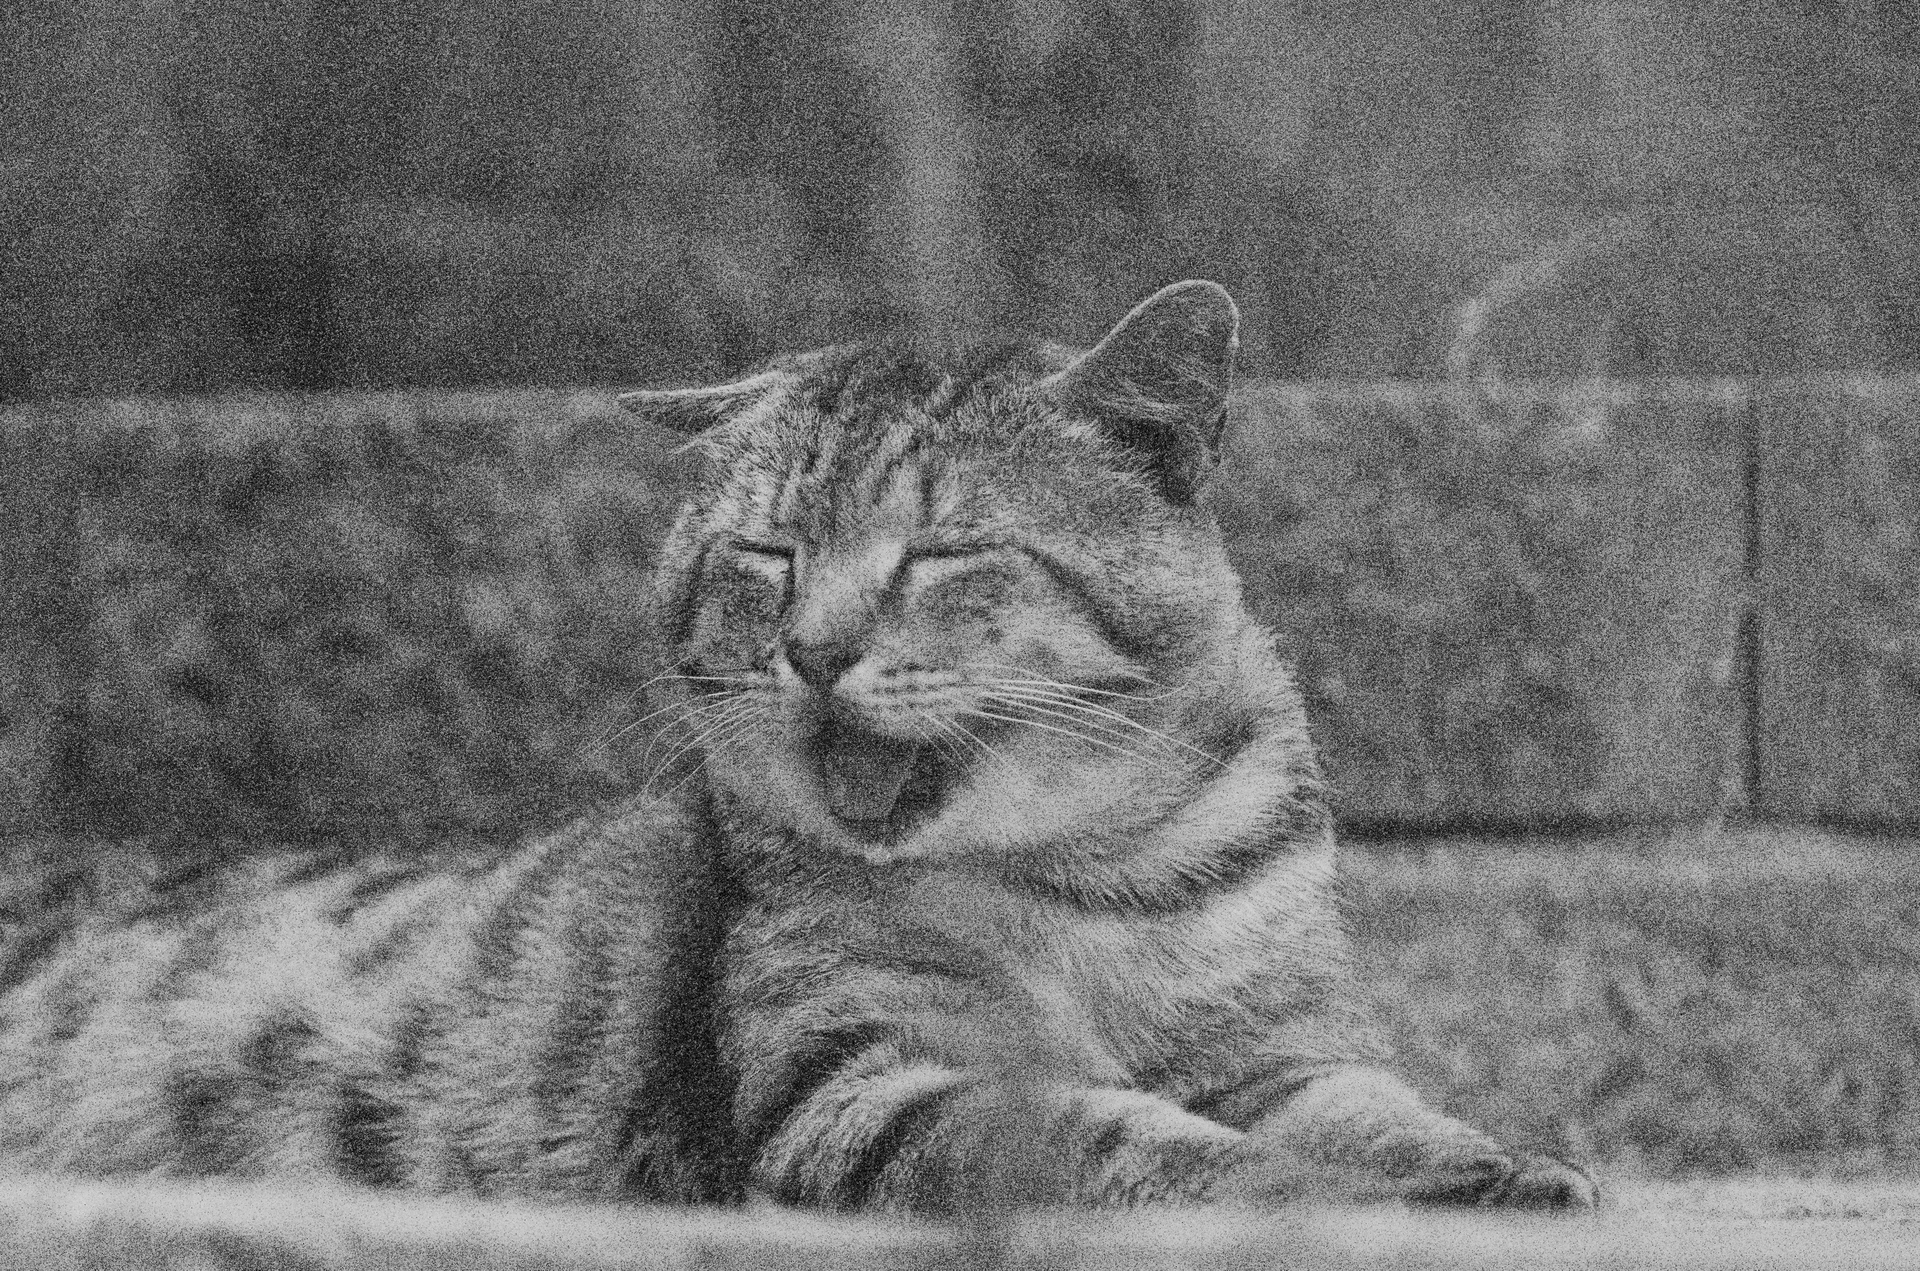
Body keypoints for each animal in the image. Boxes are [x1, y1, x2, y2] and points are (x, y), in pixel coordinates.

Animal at [0, 281, 1595, 1213]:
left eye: (941, 552)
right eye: (767, 554)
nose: (814, 647)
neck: (1091, 877)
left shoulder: (1282, 1044)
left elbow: (1385, 1110)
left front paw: (1500, 1163)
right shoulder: (858, 1085)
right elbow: (1149, 1143)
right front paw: (1332, 1192)